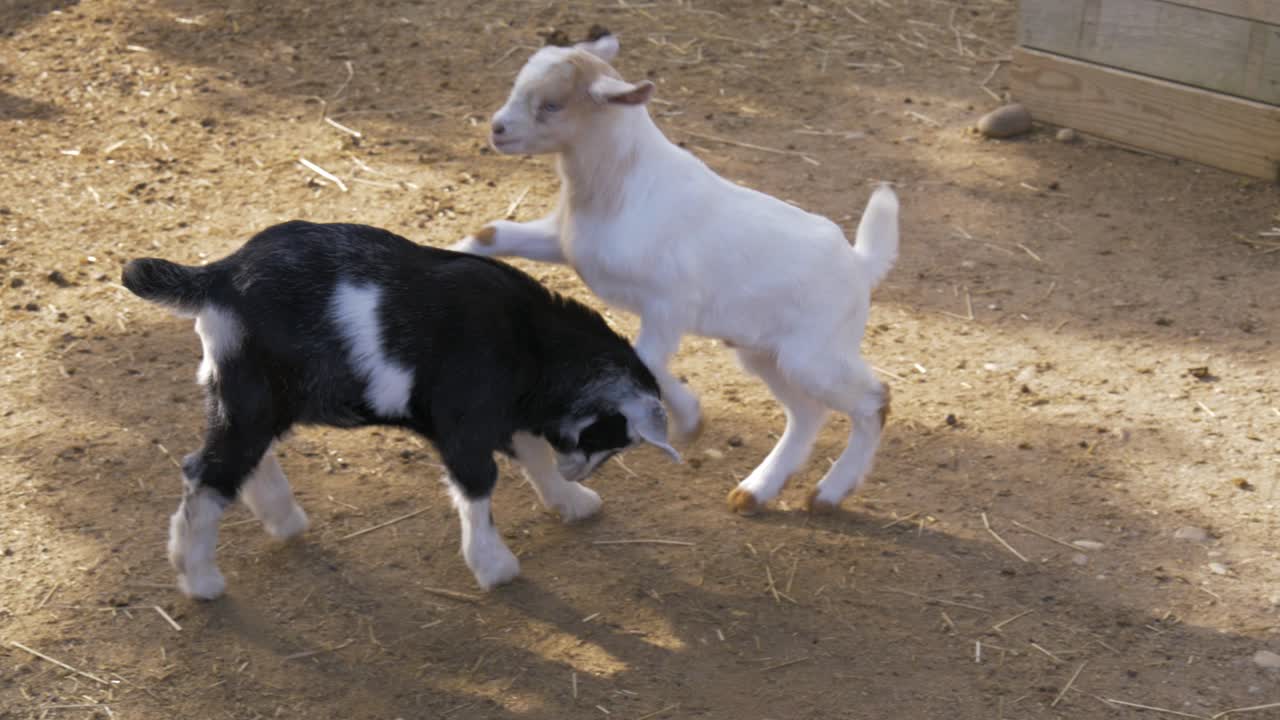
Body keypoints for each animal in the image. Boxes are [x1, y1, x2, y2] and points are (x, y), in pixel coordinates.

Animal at [122, 220, 678, 598]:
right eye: (609, 436)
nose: (579, 470)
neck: (532, 340)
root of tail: (221, 275)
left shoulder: (503, 415)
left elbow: (533, 453)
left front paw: (570, 500)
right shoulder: (464, 425)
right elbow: (480, 486)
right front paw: (494, 565)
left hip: (255, 399)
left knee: (246, 463)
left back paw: (283, 519)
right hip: (253, 395)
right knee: (207, 474)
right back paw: (199, 577)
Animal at [452, 33, 899, 513]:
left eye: (552, 105)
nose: (497, 129)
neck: (617, 188)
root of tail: (860, 264)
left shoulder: (669, 304)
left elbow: (644, 358)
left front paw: (690, 420)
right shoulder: (564, 244)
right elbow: (491, 233)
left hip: (815, 354)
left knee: (874, 402)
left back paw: (830, 491)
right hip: (763, 352)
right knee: (808, 413)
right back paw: (757, 489)